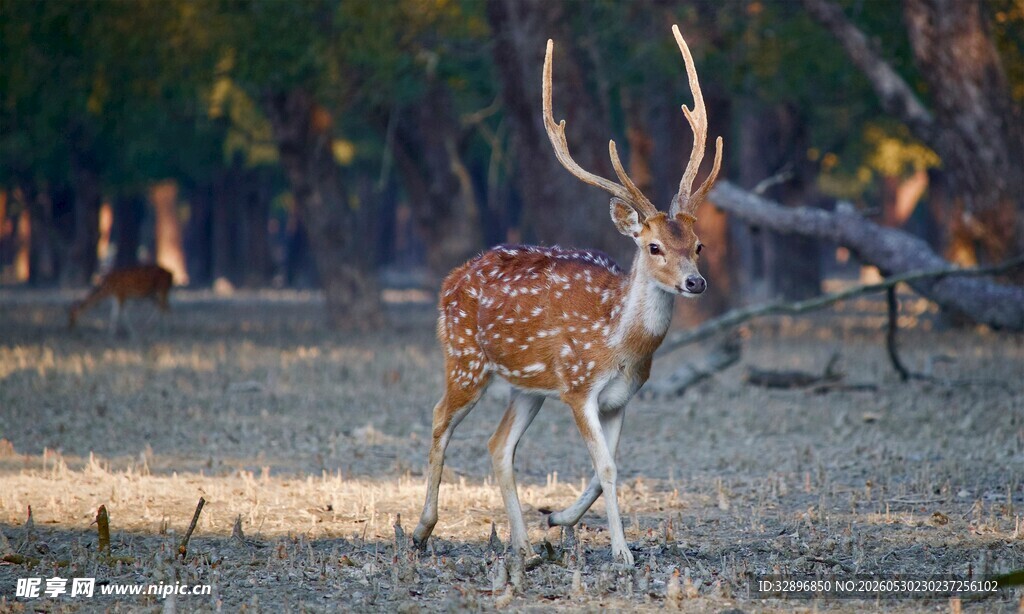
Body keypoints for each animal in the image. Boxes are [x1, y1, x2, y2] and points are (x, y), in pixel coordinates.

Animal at [412, 25, 722, 565]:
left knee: (498, 445)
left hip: (527, 386)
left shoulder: (621, 397)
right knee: (438, 418)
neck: (619, 344)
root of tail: (450, 280)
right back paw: (421, 530)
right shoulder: (578, 388)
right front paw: (622, 552)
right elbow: (608, 469)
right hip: (466, 359)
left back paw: (523, 545)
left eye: (698, 244)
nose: (695, 282)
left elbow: (610, 469)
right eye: (654, 246)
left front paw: (558, 519)